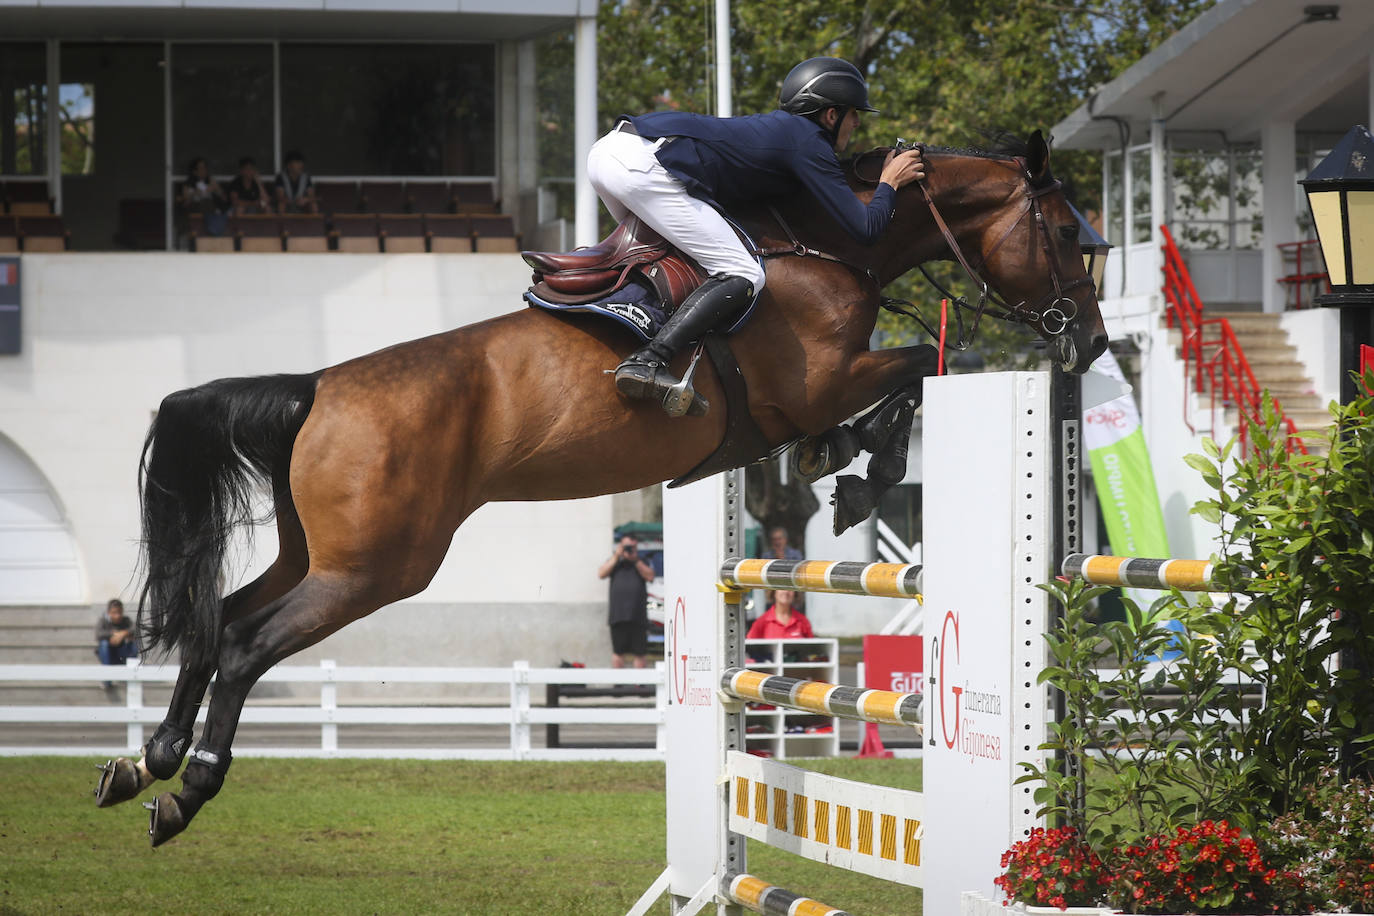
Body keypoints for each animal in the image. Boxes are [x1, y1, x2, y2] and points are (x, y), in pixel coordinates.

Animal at [94, 127, 1104, 845]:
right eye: (1064, 234)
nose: (1090, 345)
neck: (821, 247)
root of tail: (315, 388)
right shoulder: (822, 378)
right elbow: (930, 361)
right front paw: (868, 473)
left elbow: (903, 380)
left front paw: (841, 465)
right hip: (374, 568)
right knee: (246, 643)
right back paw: (187, 788)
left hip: (322, 554)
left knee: (220, 618)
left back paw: (145, 761)